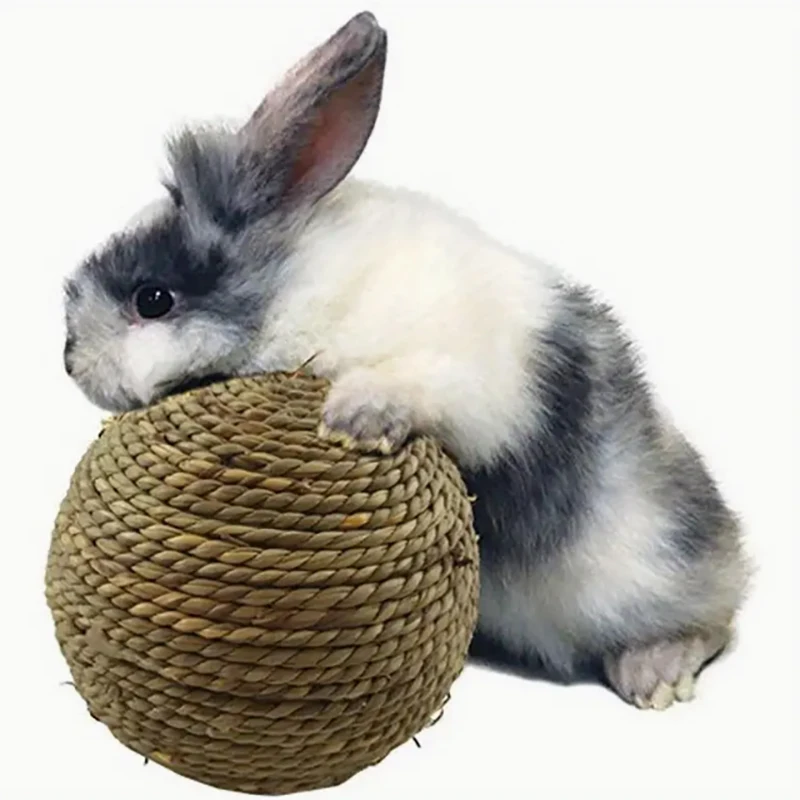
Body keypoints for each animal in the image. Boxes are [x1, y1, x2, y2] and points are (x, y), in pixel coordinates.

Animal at [63, 11, 749, 710]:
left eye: (152, 299)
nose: (69, 360)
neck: (295, 284)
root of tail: (727, 547)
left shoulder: (470, 374)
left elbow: (417, 385)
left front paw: (353, 419)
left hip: (650, 570)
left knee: (713, 621)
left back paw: (656, 674)